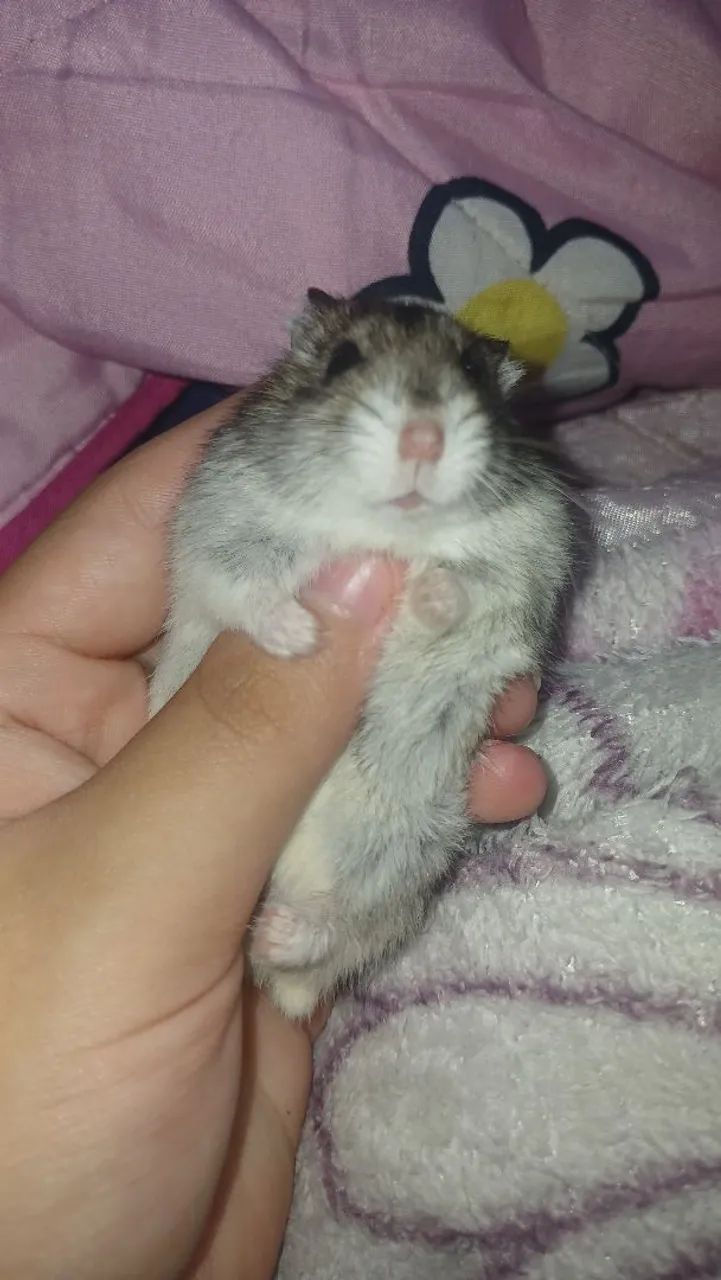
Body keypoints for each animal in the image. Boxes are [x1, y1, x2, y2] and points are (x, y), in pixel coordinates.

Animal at [149, 290, 573, 1019]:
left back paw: (277, 935)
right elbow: (242, 587)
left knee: (337, 929)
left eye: (472, 371)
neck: (387, 528)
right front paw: (302, 634)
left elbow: (471, 593)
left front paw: (422, 590)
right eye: (342, 360)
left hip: (399, 845)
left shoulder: (526, 565)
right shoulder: (213, 534)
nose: (424, 439)